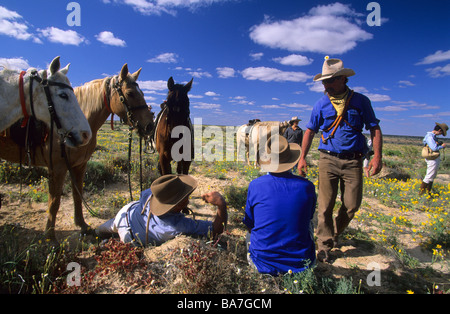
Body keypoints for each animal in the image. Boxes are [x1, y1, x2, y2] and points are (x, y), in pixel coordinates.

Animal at [0, 63, 155, 240]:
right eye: (130, 93)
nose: (150, 125)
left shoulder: (80, 165)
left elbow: (77, 195)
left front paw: (82, 225)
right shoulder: (58, 168)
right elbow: (54, 202)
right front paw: (50, 236)